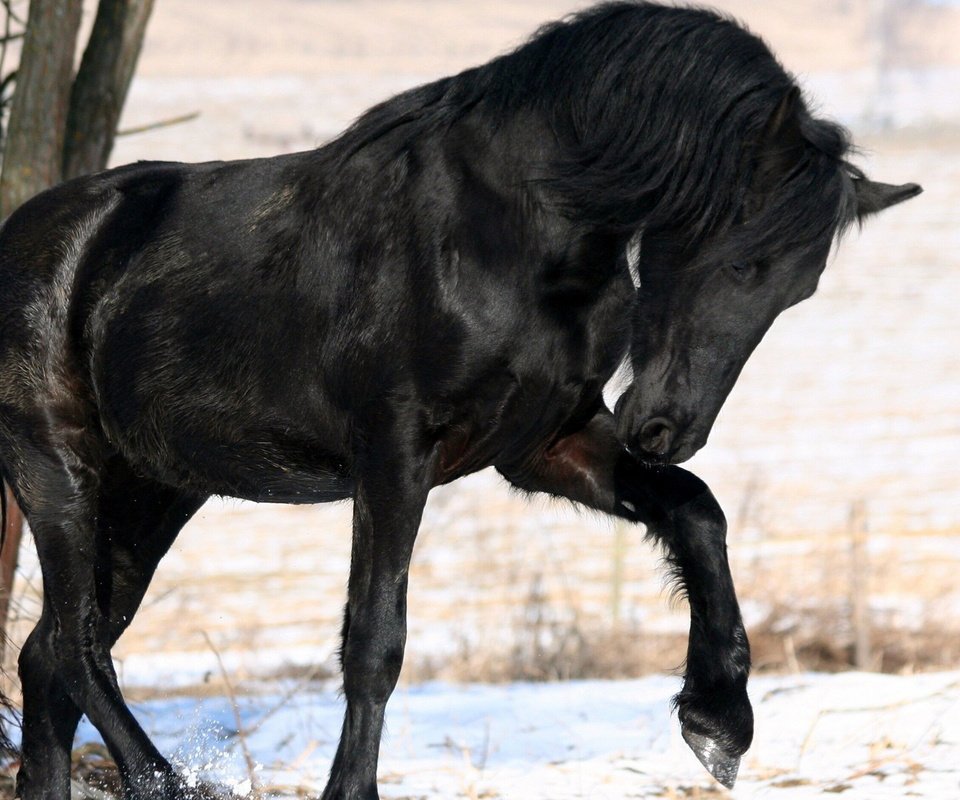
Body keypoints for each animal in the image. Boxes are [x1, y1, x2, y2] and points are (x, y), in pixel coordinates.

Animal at [0, 3, 916, 796]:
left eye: (798, 290)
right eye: (740, 259)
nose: (667, 428)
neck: (508, 234)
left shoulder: (544, 445)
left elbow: (697, 512)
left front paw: (718, 722)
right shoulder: (394, 455)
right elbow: (375, 641)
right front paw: (351, 790)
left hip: (153, 493)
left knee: (48, 658)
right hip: (60, 473)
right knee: (76, 646)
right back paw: (172, 783)